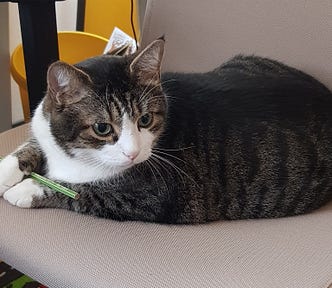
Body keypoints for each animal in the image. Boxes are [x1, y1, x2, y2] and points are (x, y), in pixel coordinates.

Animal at [0, 37, 332, 223]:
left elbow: (80, 191)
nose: (133, 153)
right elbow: (30, 146)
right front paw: (7, 172)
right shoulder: (43, 129)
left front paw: (25, 189)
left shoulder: (151, 196)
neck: (73, 154)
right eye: (102, 128)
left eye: (145, 120)